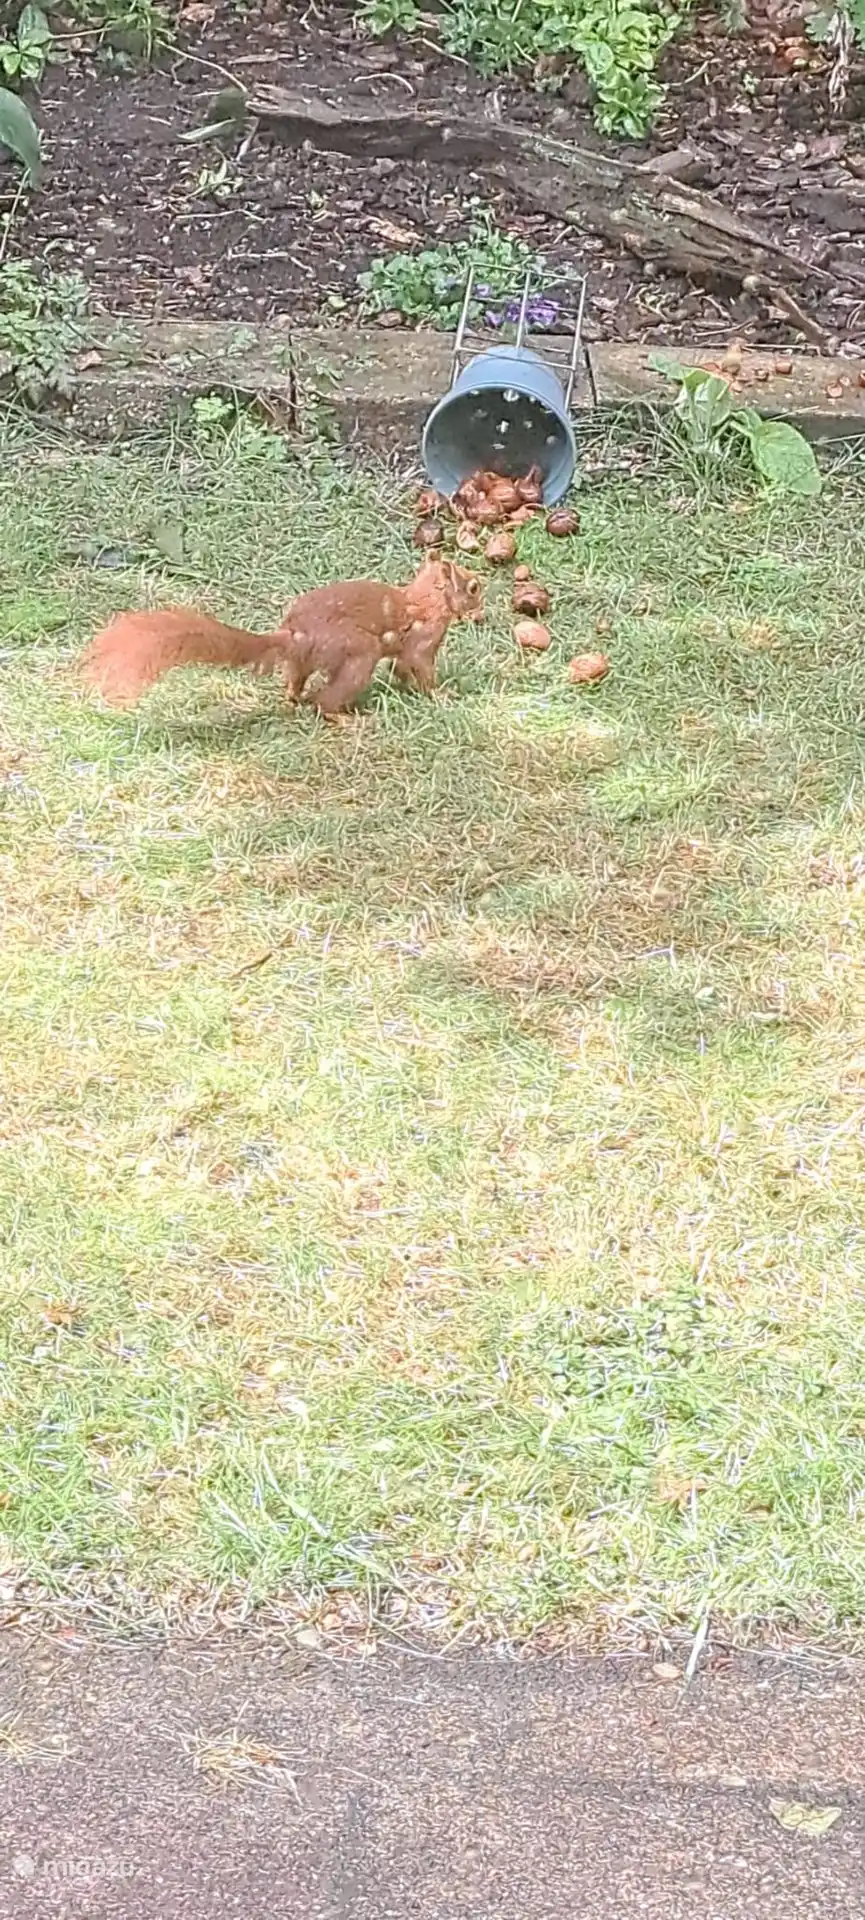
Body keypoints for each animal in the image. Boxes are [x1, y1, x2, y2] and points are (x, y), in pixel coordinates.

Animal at [80, 558, 483, 716]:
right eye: (474, 587)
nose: (483, 607)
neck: (425, 600)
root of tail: (296, 635)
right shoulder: (422, 642)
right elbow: (421, 669)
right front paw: (442, 694)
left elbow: (401, 669)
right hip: (359, 653)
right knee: (325, 702)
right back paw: (346, 717)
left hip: (307, 664)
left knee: (295, 685)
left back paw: (295, 697)